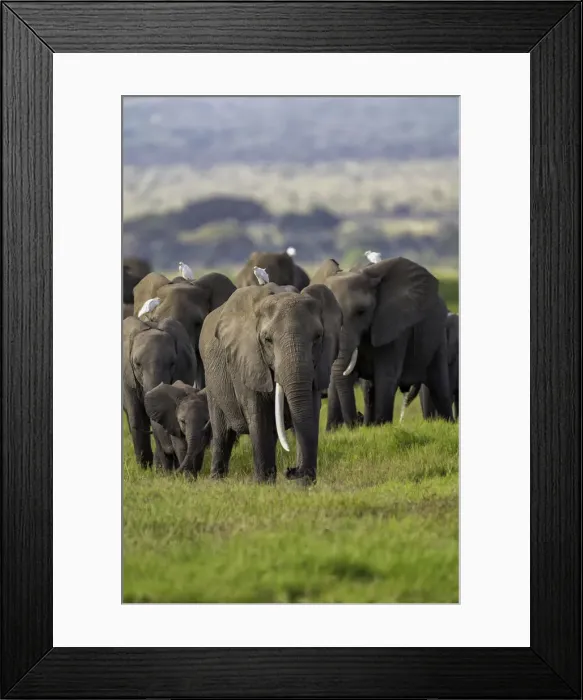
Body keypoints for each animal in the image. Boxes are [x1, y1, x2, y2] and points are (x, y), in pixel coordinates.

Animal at [123, 316, 196, 467]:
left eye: (172, 363)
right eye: (137, 364)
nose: (169, 451)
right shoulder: (127, 375)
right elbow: (137, 418)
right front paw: (144, 468)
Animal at [200, 282, 342, 484]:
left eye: (318, 338)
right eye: (267, 340)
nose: (290, 470)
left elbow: (310, 413)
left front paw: (304, 485)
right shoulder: (246, 361)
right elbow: (259, 416)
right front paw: (262, 485)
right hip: (212, 380)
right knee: (222, 434)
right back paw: (217, 481)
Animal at [322, 257, 453, 428]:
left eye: (361, 312)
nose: (356, 421)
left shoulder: (394, 326)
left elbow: (386, 375)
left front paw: (382, 427)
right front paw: (334, 432)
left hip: (438, 336)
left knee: (439, 387)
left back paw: (449, 423)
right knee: (369, 390)